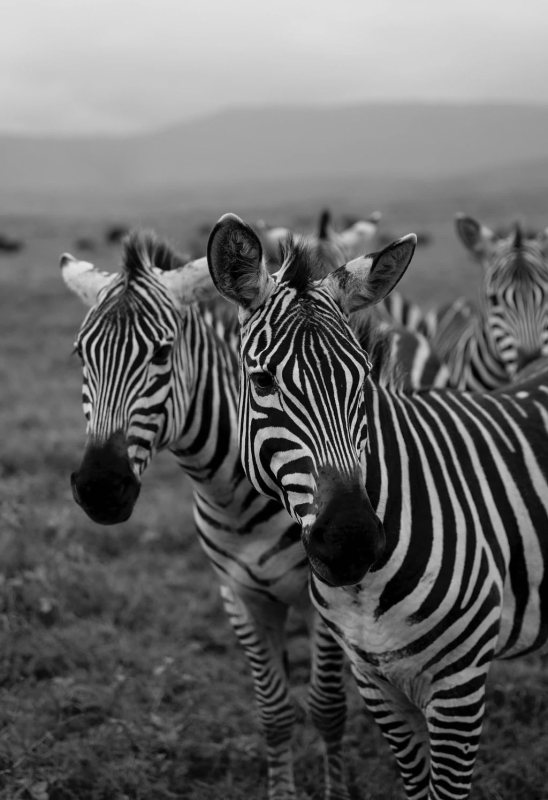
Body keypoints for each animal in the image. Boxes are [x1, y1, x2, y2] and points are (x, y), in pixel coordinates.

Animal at [60, 232, 351, 800]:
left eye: (162, 352)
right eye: (82, 354)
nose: (100, 488)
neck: (232, 494)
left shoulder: (323, 598)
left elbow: (327, 710)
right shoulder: (237, 596)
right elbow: (275, 713)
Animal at [207, 212, 548, 800]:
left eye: (364, 377)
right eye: (262, 380)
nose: (352, 541)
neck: (365, 591)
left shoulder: (459, 688)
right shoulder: (375, 683)